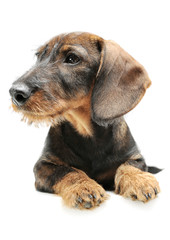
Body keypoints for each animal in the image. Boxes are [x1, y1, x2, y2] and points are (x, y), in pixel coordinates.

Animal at [9, 31, 161, 208]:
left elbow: (128, 166)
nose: (15, 93)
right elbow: (67, 170)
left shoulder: (136, 158)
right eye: (39, 56)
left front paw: (139, 180)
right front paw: (83, 186)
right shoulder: (43, 165)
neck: (88, 133)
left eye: (72, 58)